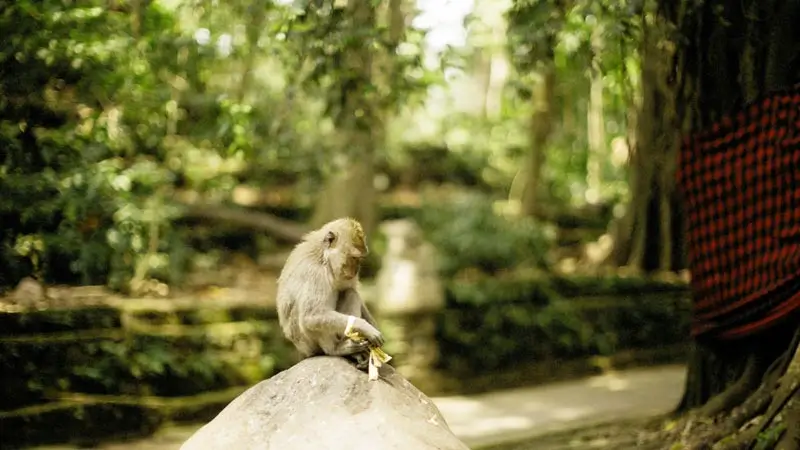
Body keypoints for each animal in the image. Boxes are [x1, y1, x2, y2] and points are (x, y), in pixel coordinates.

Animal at [276, 217, 384, 370]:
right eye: (354, 258)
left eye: (360, 259)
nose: (355, 271)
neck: (324, 257)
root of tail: (303, 351)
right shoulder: (316, 273)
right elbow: (312, 316)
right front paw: (365, 327)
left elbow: (350, 288)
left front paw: (372, 326)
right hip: (307, 343)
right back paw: (336, 349)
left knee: (349, 292)